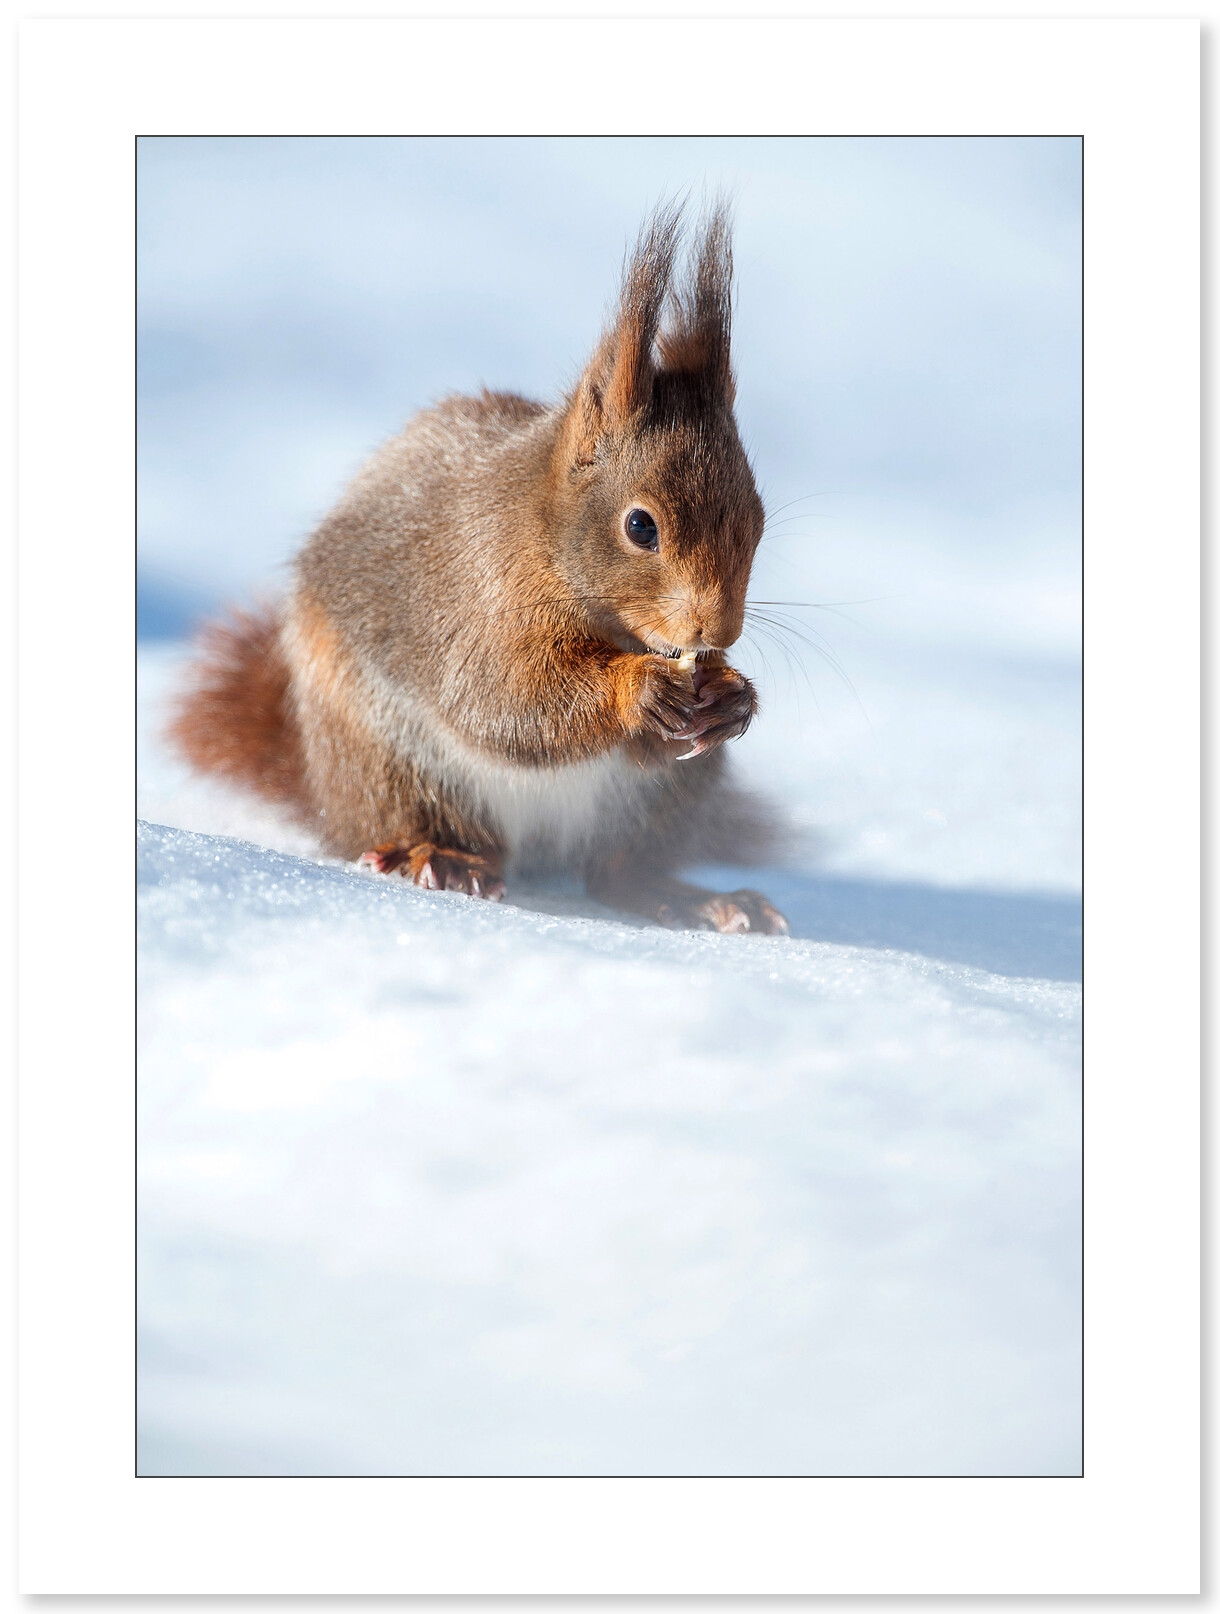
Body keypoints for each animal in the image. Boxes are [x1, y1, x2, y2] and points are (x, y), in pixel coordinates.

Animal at [167, 201, 790, 935]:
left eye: (759, 517)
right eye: (641, 526)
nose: (715, 635)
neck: (544, 541)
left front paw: (734, 698)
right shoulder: (476, 599)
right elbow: (507, 700)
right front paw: (637, 688)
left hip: (664, 799)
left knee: (617, 874)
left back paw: (694, 898)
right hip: (391, 762)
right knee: (422, 823)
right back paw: (441, 858)